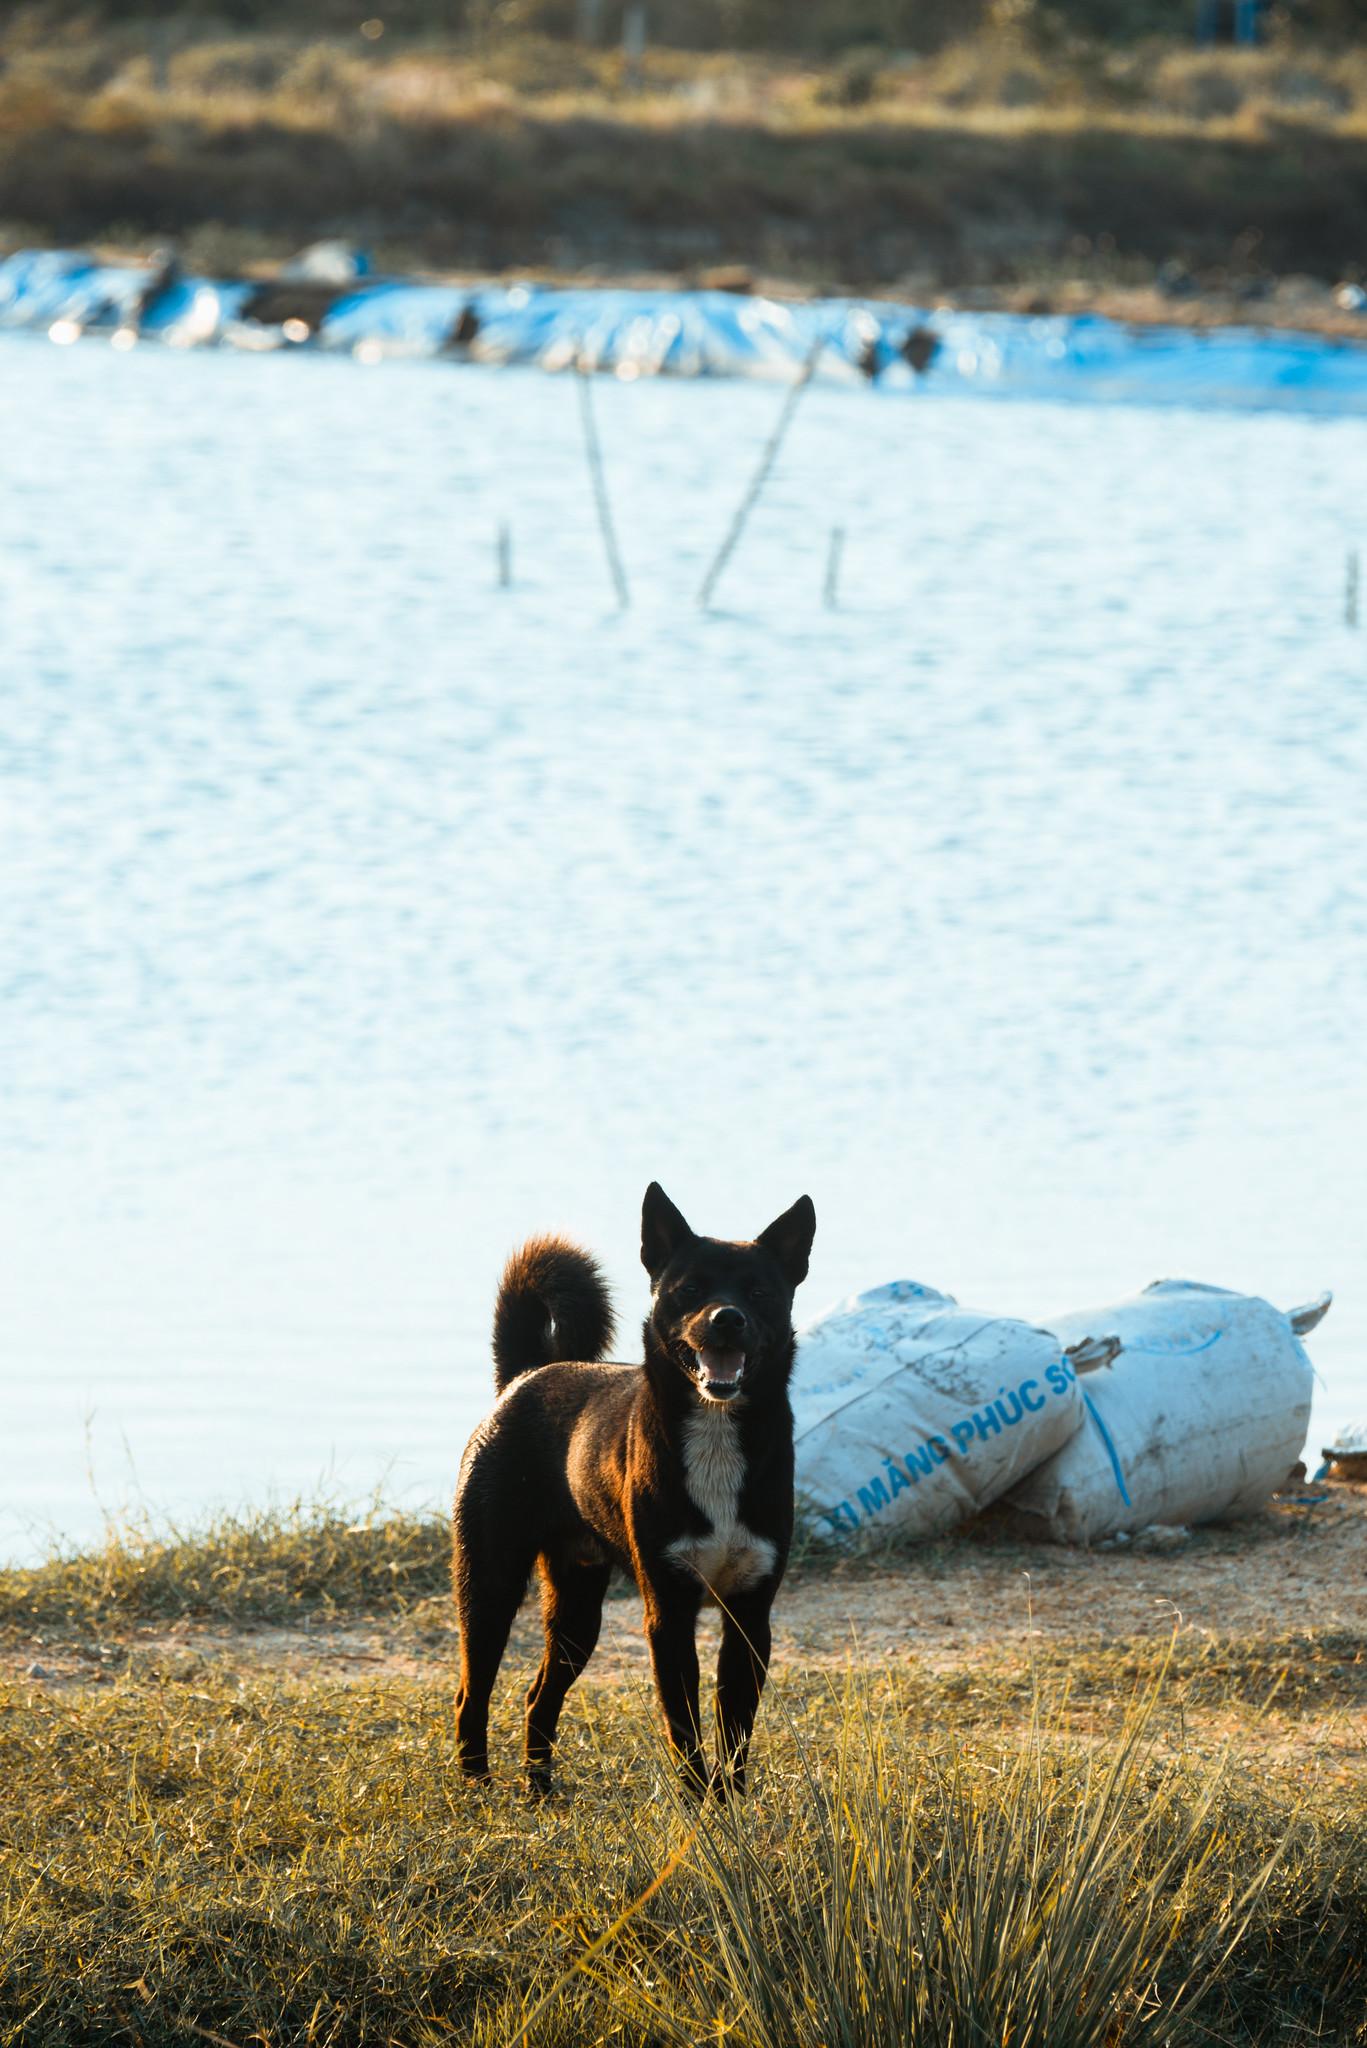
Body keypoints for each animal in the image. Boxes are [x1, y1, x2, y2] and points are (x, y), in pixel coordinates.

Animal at [450, 1187, 811, 1794]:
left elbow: (734, 1732)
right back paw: (476, 1788)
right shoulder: (668, 1614)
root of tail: (526, 1375)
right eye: (689, 1289)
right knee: (470, 1694)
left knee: (537, 1696)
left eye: (760, 1292)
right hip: (490, 1586)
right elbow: (685, 1730)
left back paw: (540, 1792)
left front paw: (732, 1805)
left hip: (575, 1610)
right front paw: (699, 1808)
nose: (727, 1318)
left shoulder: (749, 1617)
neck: (715, 1432)